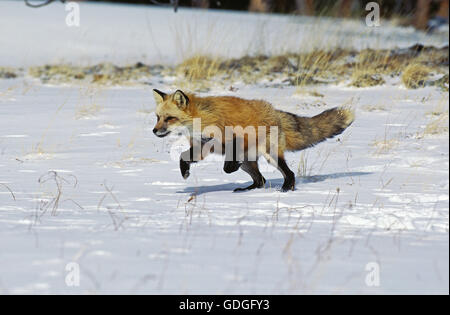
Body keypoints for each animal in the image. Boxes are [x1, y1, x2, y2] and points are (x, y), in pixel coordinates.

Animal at [153, 89, 354, 193]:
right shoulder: (202, 147)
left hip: (271, 156)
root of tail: (274, 111)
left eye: (169, 118)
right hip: (249, 164)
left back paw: (286, 188)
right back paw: (248, 190)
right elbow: (183, 157)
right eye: (158, 117)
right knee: (261, 180)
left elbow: (227, 167)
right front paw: (185, 172)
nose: (154, 131)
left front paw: (230, 167)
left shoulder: (237, 138)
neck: (202, 119)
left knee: (288, 173)